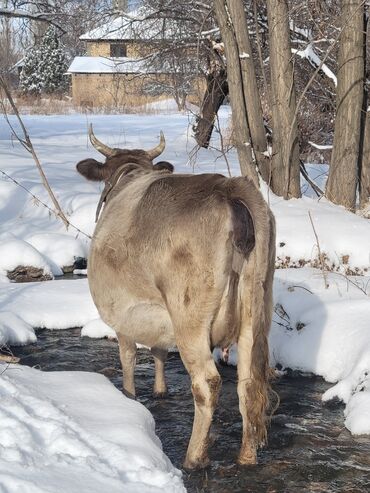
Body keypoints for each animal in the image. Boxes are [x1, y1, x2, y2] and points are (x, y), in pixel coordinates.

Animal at [77, 125, 274, 468]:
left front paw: (129, 398)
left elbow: (128, 357)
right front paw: (160, 390)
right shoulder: (156, 314)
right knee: (249, 382)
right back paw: (247, 456)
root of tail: (229, 187)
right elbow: (158, 350)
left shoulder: (122, 313)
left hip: (189, 316)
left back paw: (194, 457)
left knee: (207, 382)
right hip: (255, 308)